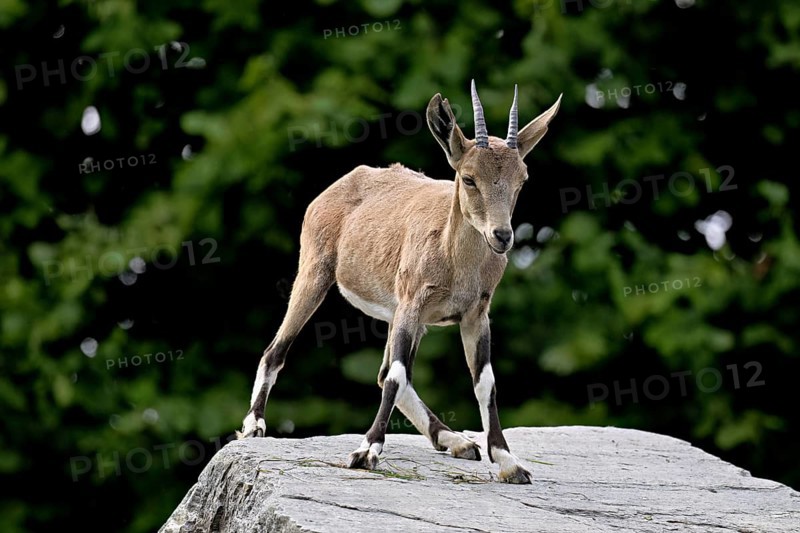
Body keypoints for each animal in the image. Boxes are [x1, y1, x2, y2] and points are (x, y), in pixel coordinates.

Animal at [238, 80, 562, 484]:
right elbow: (396, 375)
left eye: (522, 180)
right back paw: (254, 425)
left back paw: (456, 441)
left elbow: (483, 381)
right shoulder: (412, 302)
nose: (501, 236)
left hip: (402, 316)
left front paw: (507, 461)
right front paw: (365, 452)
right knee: (278, 350)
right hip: (315, 273)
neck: (456, 260)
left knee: (384, 373)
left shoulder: (476, 313)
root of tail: (340, 185)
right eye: (469, 178)